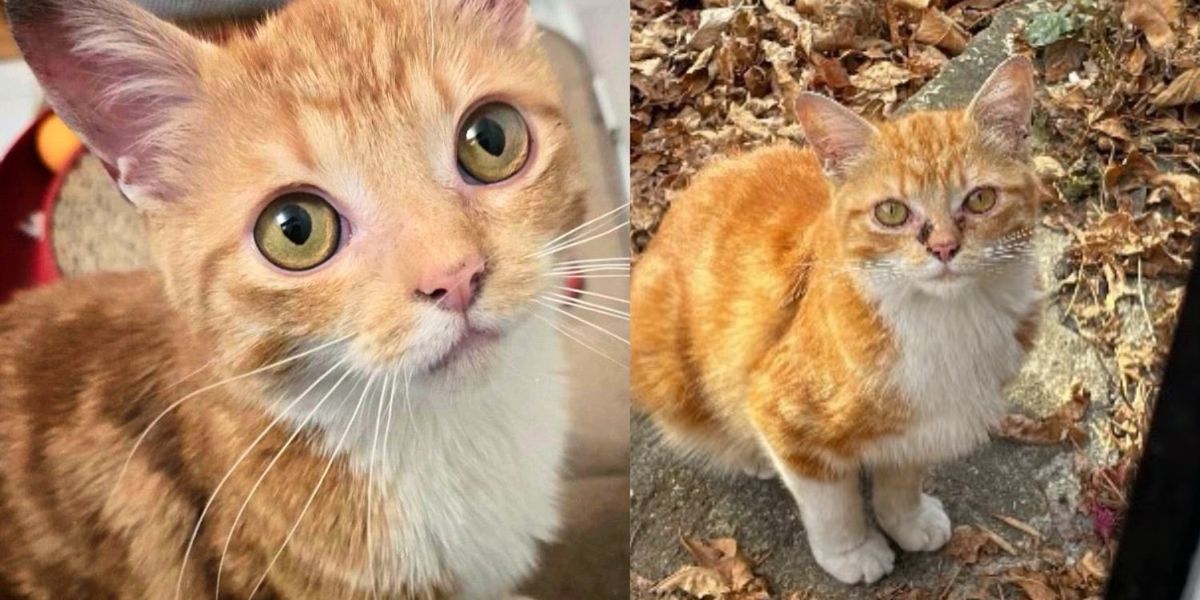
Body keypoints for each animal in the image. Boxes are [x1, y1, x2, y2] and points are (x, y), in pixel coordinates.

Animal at [638, 58, 1041, 583]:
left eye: (979, 200)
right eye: (891, 212)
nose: (944, 248)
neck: (947, 319)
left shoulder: (917, 426)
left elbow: (901, 480)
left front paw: (907, 520)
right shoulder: (783, 411)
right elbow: (833, 504)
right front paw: (852, 552)